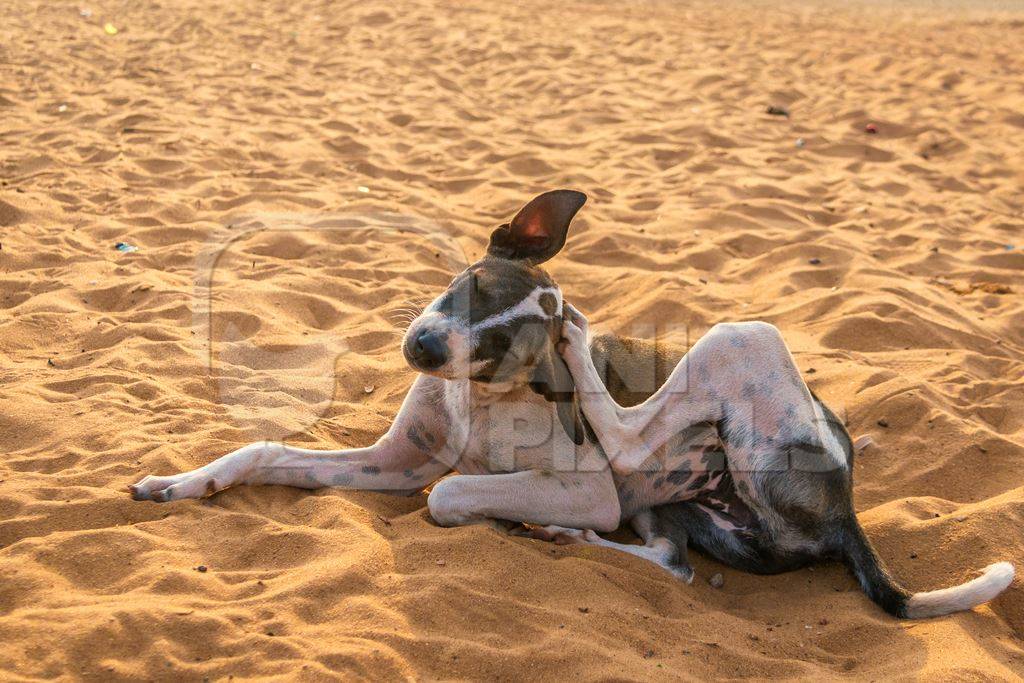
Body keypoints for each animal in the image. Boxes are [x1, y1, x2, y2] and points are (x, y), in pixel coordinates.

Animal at [130, 189, 1015, 618]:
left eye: (501, 346)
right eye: (472, 281)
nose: (423, 348)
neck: (481, 401)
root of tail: (848, 508)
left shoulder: (577, 484)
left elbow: (452, 491)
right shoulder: (394, 461)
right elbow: (265, 449)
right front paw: (182, 482)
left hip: (739, 338)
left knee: (624, 436)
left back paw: (580, 357)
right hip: (685, 509)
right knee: (673, 563)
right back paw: (562, 532)